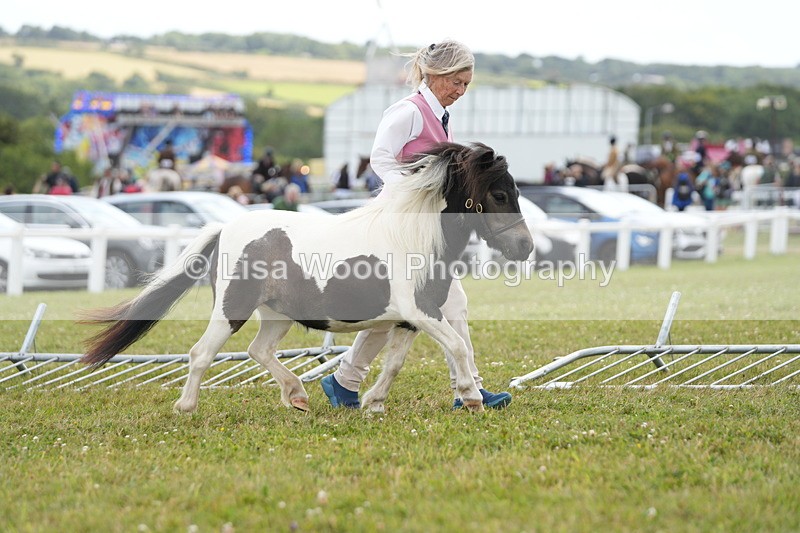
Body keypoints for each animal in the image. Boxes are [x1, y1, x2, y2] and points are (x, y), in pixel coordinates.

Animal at [79, 142, 535, 414]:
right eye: (498, 194)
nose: (526, 247)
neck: (414, 236)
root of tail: (224, 229)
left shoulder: (409, 319)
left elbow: (395, 363)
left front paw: (373, 402)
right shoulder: (420, 311)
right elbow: (457, 347)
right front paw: (472, 399)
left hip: (277, 315)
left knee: (259, 351)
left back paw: (297, 396)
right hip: (232, 309)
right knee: (201, 353)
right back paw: (186, 407)